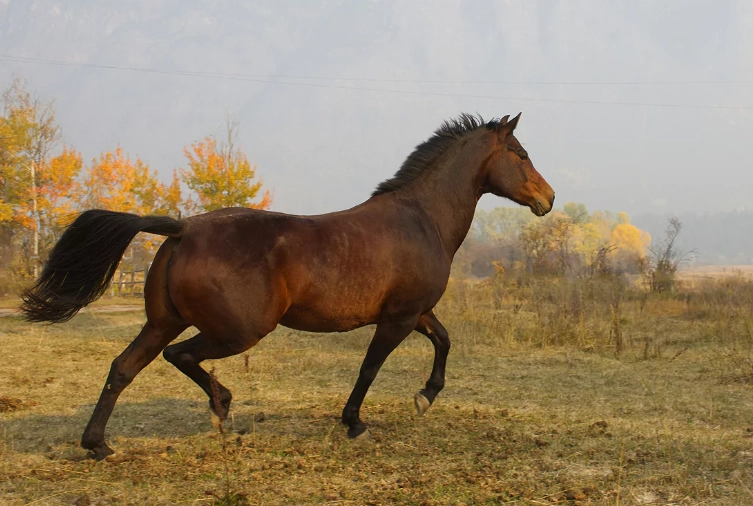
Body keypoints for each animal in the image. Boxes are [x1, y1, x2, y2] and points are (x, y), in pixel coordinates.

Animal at [21, 113, 554, 460]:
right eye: (522, 154)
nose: (548, 198)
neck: (421, 218)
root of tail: (183, 229)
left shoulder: (415, 312)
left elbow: (444, 341)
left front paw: (425, 397)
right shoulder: (398, 318)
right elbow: (370, 367)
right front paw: (356, 423)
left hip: (162, 322)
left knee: (123, 368)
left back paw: (100, 444)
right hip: (238, 331)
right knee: (181, 356)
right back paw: (222, 409)